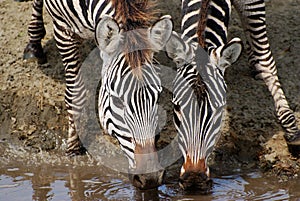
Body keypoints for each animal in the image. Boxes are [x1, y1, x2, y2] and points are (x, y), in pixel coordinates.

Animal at [22, 0, 173, 190]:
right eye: (117, 101)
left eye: (157, 97)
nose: (151, 178)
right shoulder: (63, 30)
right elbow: (76, 94)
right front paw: (73, 151)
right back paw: (34, 44)